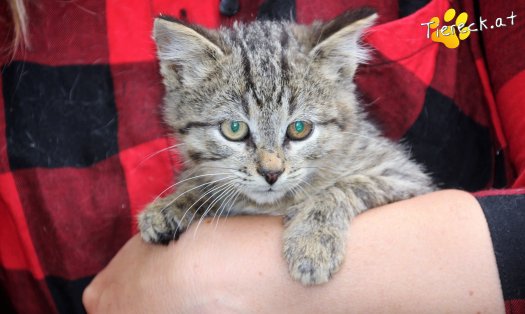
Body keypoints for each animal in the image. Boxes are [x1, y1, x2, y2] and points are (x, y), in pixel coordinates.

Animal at [138, 8, 434, 286]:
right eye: (234, 129)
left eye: (299, 128)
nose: (271, 173)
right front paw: (176, 200)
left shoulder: (407, 177)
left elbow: (345, 186)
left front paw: (312, 241)